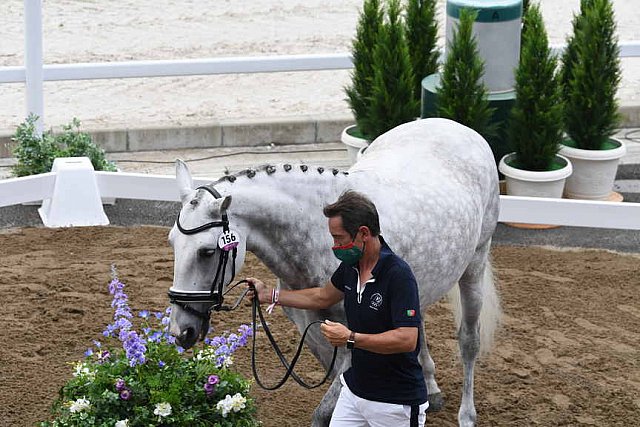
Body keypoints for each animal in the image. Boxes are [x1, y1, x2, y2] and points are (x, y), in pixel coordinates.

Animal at [169, 118, 500, 427]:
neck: (316, 231)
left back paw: (466, 415)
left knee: (468, 341)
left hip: (475, 263)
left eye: (206, 251)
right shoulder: (313, 329)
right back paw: (430, 389)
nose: (180, 332)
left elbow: (326, 410)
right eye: (172, 241)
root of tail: (455, 126)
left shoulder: (355, 338)